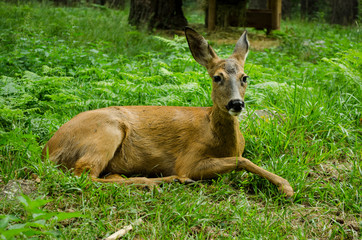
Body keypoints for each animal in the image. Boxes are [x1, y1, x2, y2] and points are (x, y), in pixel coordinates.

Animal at [43, 27, 294, 198]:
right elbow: (242, 160)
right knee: (84, 175)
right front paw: (286, 186)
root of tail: (49, 149)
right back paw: (164, 181)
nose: (236, 104)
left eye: (244, 77)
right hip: (105, 134)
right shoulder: (188, 160)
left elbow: (241, 159)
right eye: (217, 77)